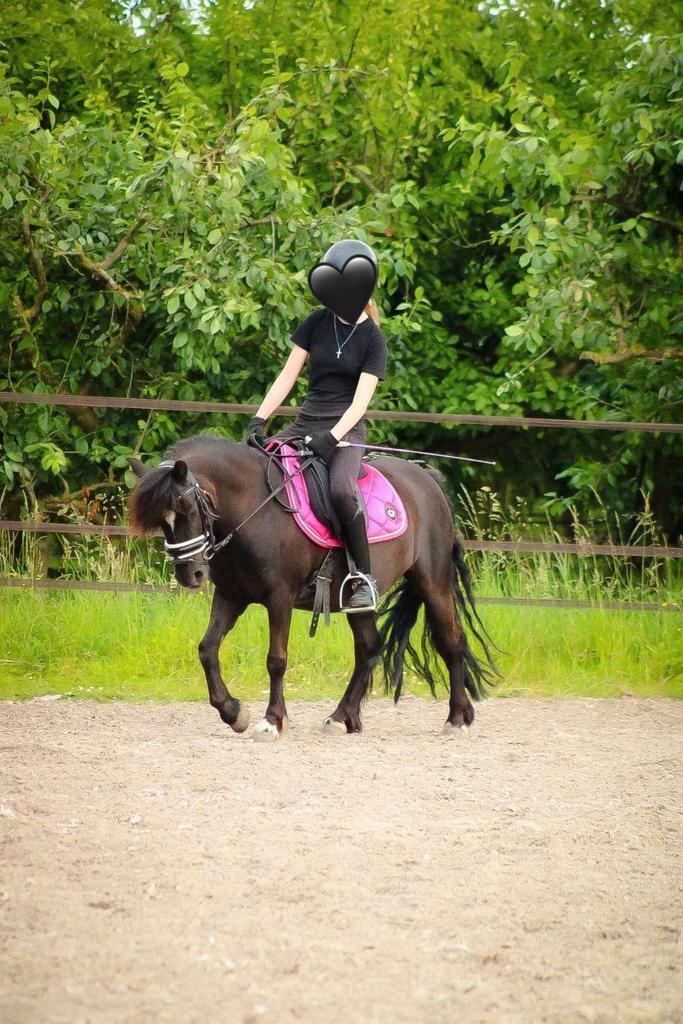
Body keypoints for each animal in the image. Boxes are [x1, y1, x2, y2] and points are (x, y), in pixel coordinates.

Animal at [126, 433, 498, 739]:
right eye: (161, 520)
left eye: (187, 508)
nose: (190, 574)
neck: (253, 507)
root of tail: (426, 479)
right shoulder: (231, 595)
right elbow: (207, 649)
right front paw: (233, 713)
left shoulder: (279, 597)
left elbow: (276, 659)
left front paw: (272, 721)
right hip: (358, 598)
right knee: (369, 647)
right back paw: (342, 718)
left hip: (433, 579)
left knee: (450, 641)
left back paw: (457, 719)